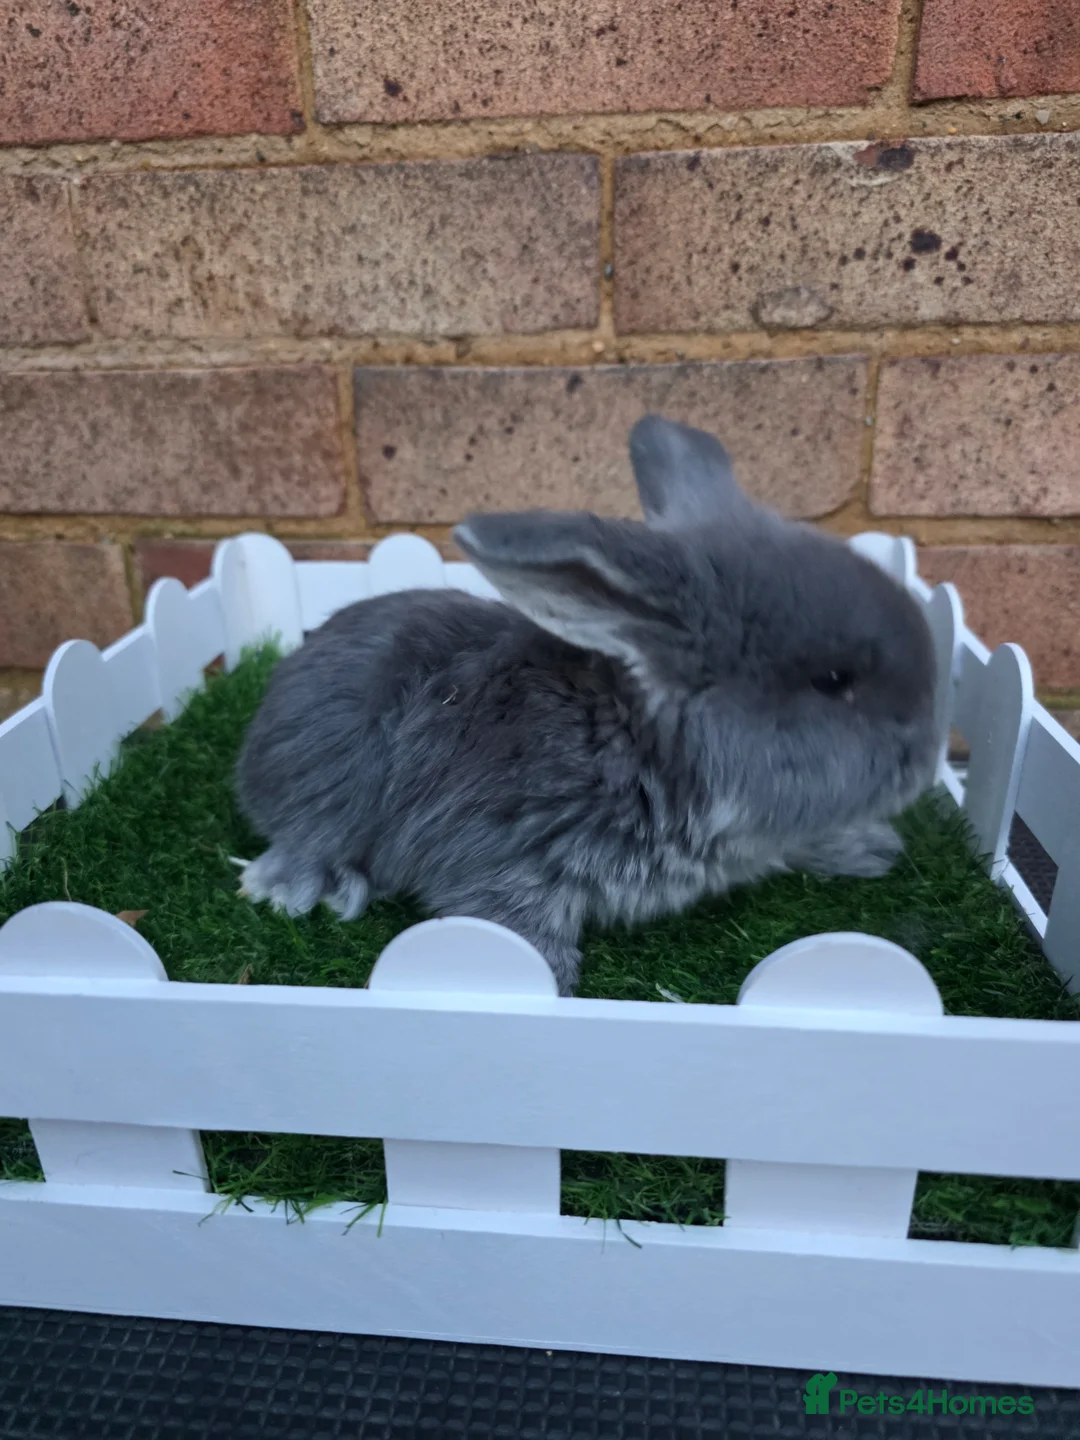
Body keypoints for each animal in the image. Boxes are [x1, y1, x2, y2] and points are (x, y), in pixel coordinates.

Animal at [235, 414, 938, 995]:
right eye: (832, 680)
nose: (926, 764)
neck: (639, 748)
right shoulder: (504, 860)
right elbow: (512, 928)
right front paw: (550, 985)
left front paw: (869, 850)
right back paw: (295, 886)